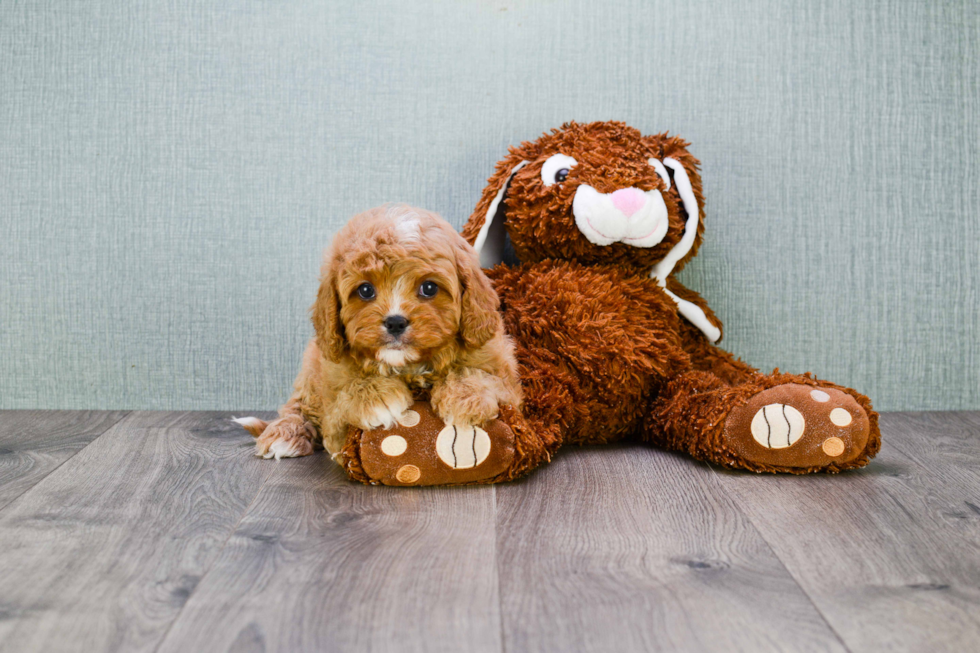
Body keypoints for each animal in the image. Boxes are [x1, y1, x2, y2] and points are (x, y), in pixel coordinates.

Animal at [234, 202, 524, 458]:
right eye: (365, 290)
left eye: (429, 288)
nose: (395, 322)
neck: (408, 366)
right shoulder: (333, 397)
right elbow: (343, 399)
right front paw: (377, 398)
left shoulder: (503, 372)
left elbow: (482, 375)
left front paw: (466, 397)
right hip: (311, 372)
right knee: (298, 405)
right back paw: (285, 434)